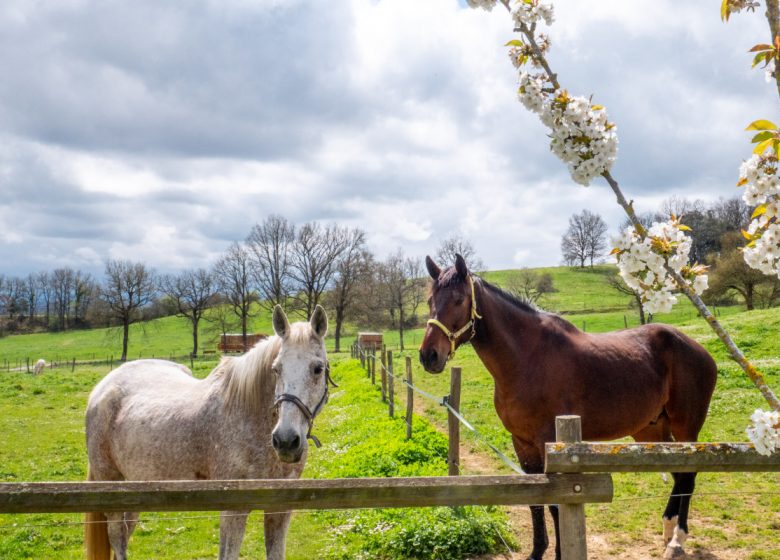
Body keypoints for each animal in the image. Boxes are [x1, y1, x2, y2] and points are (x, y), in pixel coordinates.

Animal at [84, 306, 332, 560]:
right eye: (276, 369)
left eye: (317, 369)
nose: (285, 441)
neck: (249, 416)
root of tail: (102, 388)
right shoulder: (233, 510)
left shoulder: (279, 508)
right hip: (110, 485)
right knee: (117, 536)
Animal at [418, 256, 716, 560]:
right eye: (430, 300)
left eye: (458, 300)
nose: (429, 355)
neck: (527, 358)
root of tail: (698, 349)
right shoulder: (522, 443)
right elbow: (535, 501)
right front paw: (537, 552)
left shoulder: (549, 443)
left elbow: (555, 503)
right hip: (651, 430)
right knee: (679, 474)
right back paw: (668, 529)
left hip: (686, 427)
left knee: (688, 476)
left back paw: (677, 540)